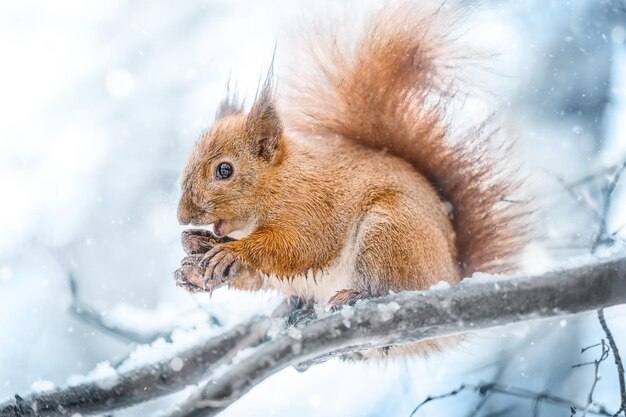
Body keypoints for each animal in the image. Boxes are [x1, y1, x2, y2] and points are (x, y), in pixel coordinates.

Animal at [173, 2, 528, 354]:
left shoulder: (311, 207)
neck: (278, 181)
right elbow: (258, 277)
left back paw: (360, 296)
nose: (182, 217)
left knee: (393, 287)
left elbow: (298, 247)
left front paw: (233, 252)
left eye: (224, 170)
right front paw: (197, 249)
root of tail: (452, 277)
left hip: (389, 235)